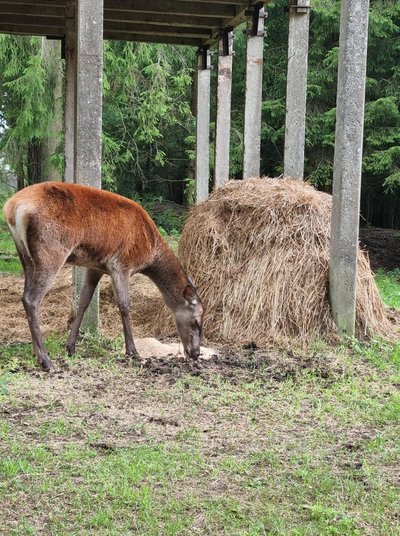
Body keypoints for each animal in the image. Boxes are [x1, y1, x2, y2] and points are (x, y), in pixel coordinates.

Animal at [3, 182, 203, 370]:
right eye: (196, 322)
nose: (195, 353)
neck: (150, 252)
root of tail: (11, 207)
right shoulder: (121, 264)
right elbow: (124, 305)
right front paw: (133, 351)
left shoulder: (95, 267)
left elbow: (84, 301)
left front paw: (71, 347)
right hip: (51, 250)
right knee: (31, 299)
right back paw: (45, 360)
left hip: (25, 256)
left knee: (26, 294)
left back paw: (36, 353)